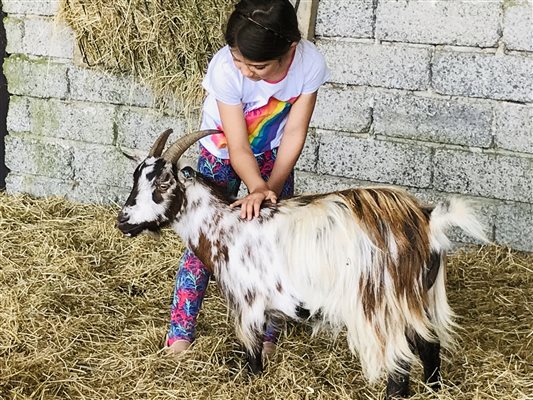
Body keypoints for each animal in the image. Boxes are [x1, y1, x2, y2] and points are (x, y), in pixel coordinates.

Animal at [116, 130, 486, 398]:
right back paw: (435, 389)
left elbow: (252, 354)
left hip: (382, 304)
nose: (123, 221)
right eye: (135, 179)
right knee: (430, 343)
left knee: (400, 360)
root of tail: (427, 222)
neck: (224, 225)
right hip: (418, 297)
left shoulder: (248, 303)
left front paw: (252, 382)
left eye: (163, 182)